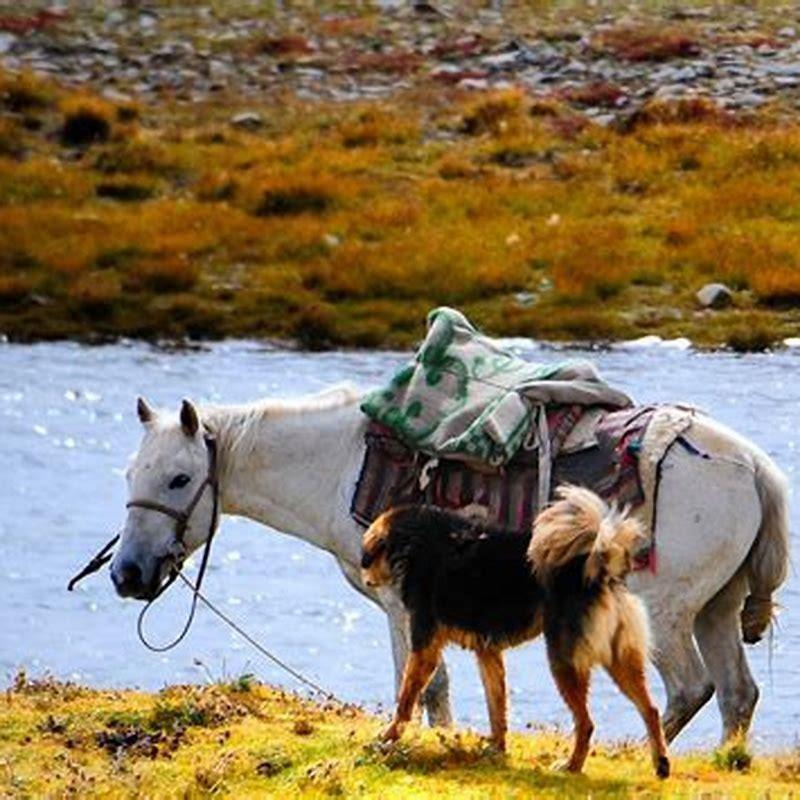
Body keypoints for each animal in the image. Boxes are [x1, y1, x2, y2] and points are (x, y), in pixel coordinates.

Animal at [109, 385, 789, 744]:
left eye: (178, 478)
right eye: (131, 473)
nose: (126, 574)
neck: (340, 464)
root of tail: (755, 466)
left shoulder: (398, 603)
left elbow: (417, 681)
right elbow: (435, 686)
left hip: (665, 608)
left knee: (691, 687)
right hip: (716, 606)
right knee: (738, 693)